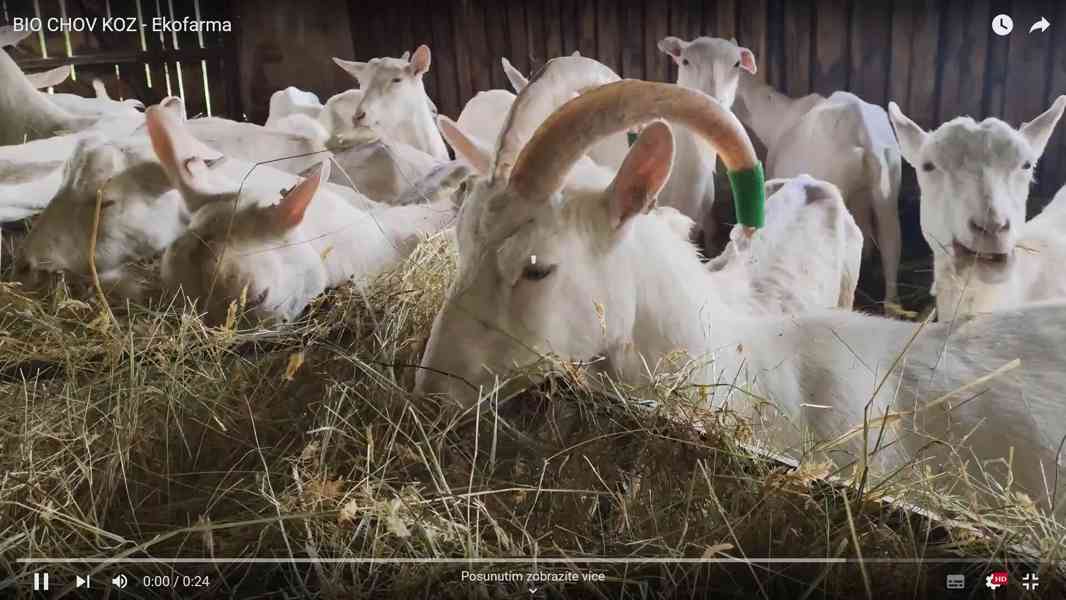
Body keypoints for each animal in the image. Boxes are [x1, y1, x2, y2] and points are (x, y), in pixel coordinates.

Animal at [660, 37, 903, 306]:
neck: (778, 117)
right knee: (892, 243)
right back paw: (892, 304)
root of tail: (862, 133)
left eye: (736, 64)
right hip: (888, 187)